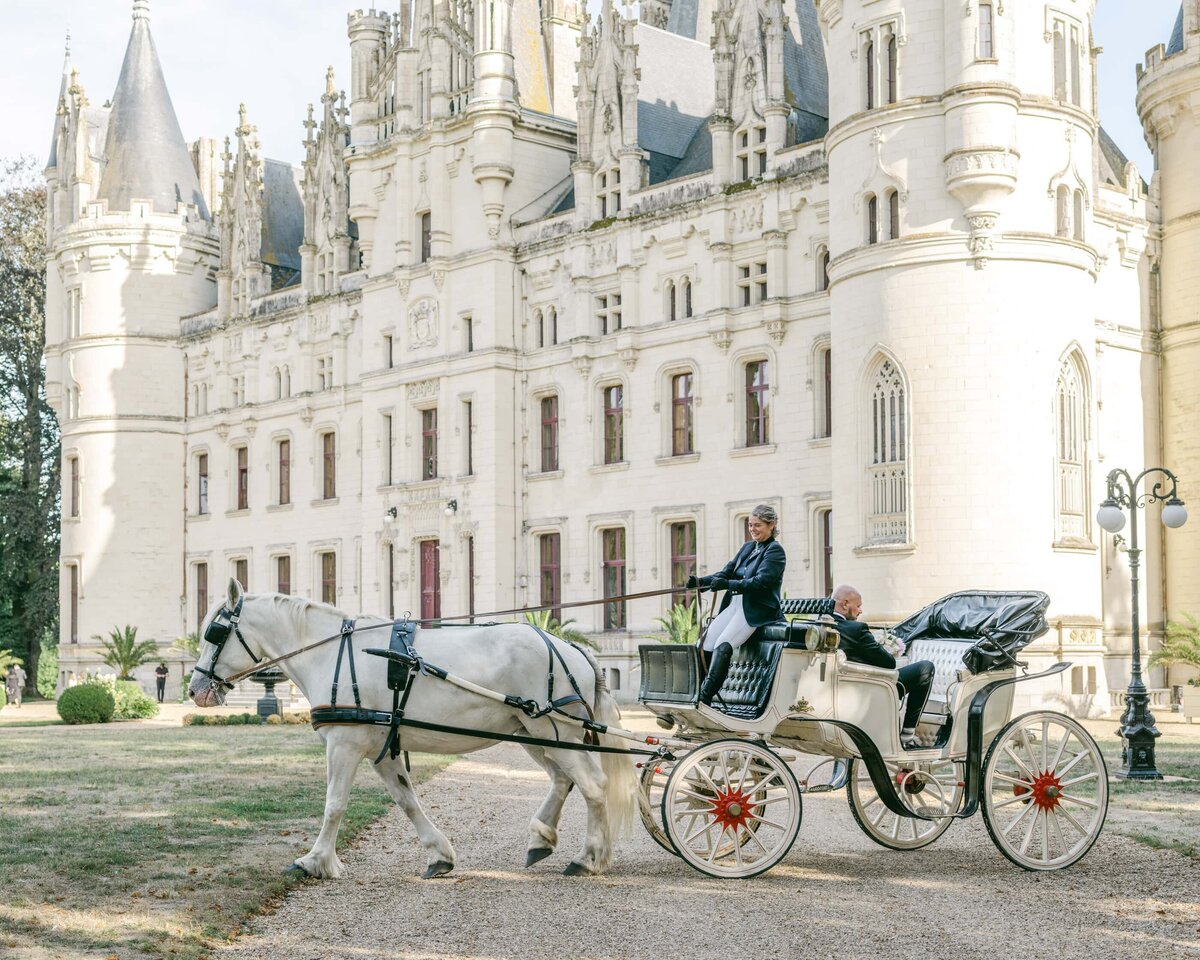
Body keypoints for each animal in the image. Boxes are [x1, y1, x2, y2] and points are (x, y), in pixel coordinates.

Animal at [187, 580, 638, 883]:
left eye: (214, 632)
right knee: (564, 780)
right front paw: (439, 854)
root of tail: (572, 647)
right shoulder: (382, 750)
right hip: (535, 734)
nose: (194, 689)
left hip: (552, 731)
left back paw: (588, 857)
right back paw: (541, 838)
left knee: (593, 784)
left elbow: (334, 805)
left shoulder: (343, 745)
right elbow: (407, 801)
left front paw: (314, 861)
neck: (330, 652)